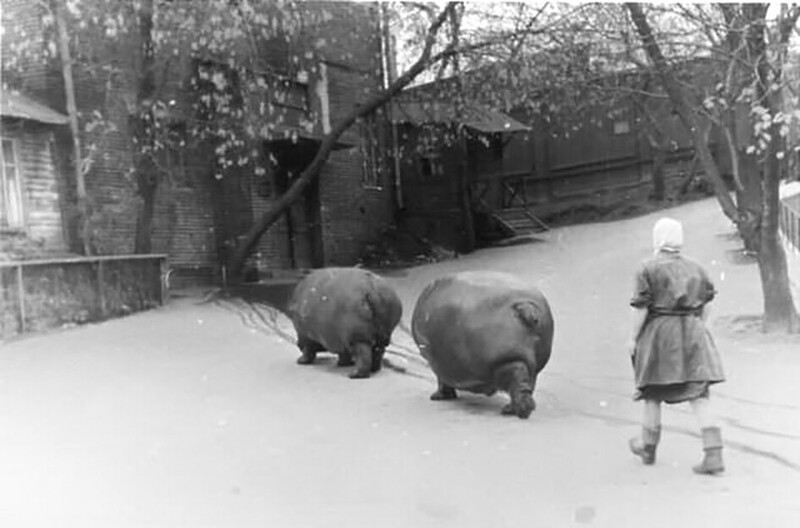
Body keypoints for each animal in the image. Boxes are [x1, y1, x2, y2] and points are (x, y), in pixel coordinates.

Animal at [410, 272, 552, 416]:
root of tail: (525, 306)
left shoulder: (436, 361)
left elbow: (441, 378)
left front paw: (438, 396)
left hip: (506, 360)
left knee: (518, 381)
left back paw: (510, 411)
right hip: (533, 365)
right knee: (527, 384)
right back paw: (511, 409)